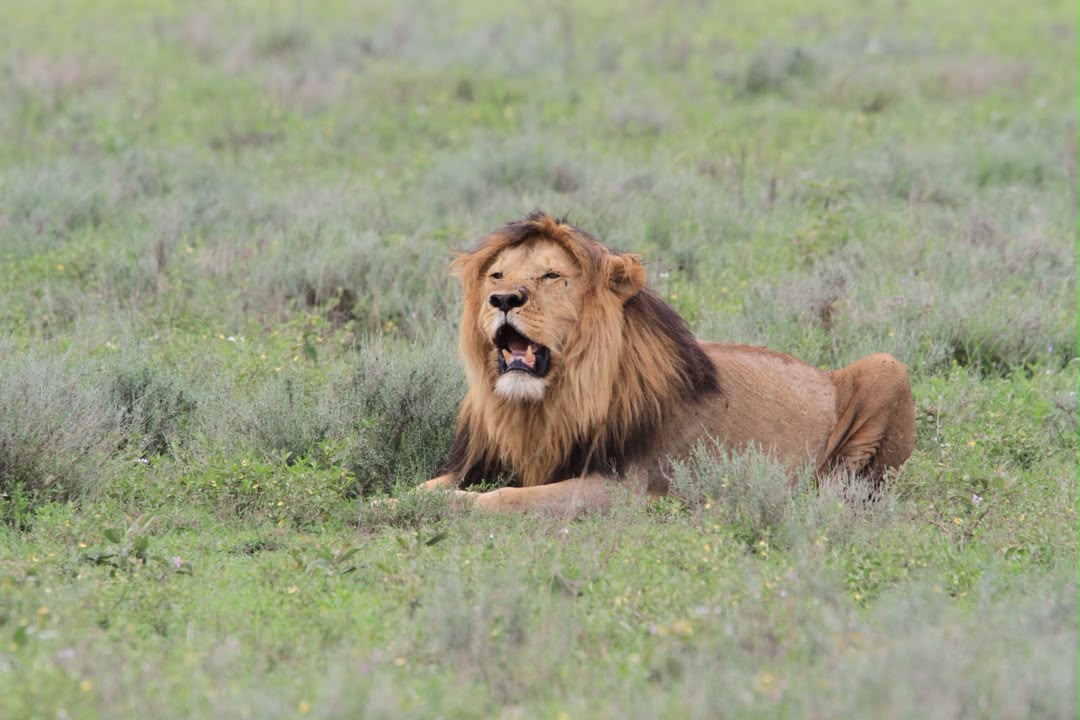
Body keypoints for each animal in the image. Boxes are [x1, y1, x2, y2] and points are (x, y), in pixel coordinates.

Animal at [418, 212, 915, 515]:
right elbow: (429, 485)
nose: (503, 299)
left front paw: (452, 507)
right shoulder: (483, 458)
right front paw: (405, 500)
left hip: (887, 365)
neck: (544, 404)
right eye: (497, 275)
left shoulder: (621, 485)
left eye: (551, 275)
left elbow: (509, 498)